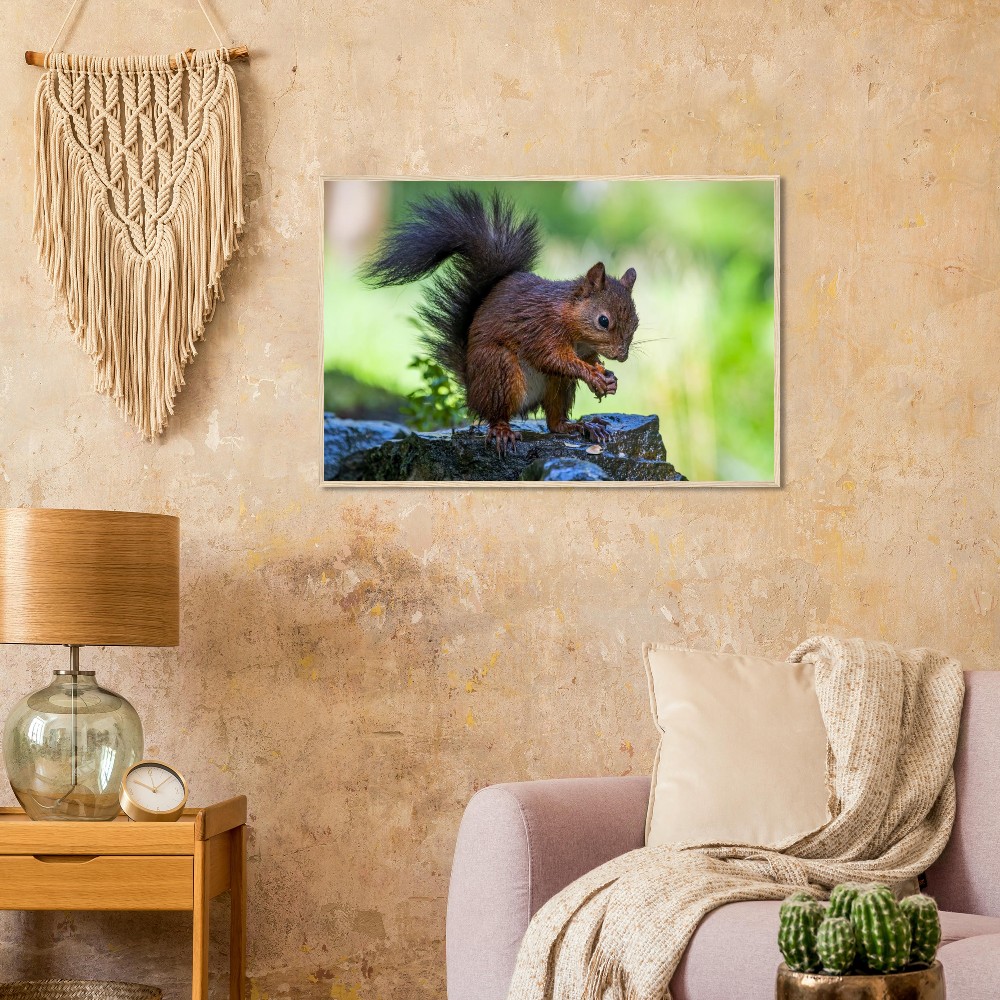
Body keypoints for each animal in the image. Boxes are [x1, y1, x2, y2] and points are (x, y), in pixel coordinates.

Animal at [361, 189, 638, 452]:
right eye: (603, 321)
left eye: (636, 322)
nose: (622, 356)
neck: (572, 323)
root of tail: (473, 391)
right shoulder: (541, 329)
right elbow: (553, 358)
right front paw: (593, 375)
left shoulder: (583, 349)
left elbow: (587, 360)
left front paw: (607, 377)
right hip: (499, 371)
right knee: (496, 414)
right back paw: (503, 430)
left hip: (557, 385)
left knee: (554, 422)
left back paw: (581, 426)